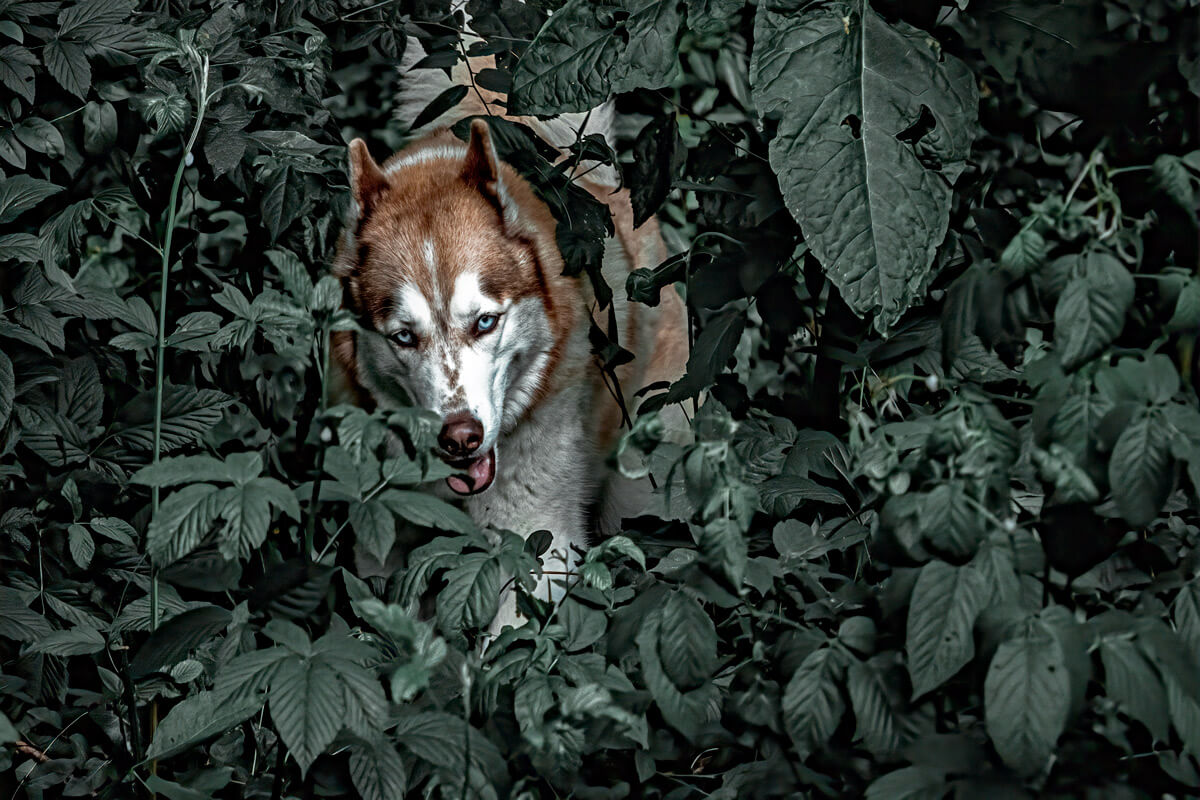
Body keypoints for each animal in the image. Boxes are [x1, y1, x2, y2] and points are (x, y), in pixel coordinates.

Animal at [331, 43, 686, 633]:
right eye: (403, 336)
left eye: (484, 322)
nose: (460, 437)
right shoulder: (382, 550)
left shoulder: (537, 545)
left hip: (642, 494)